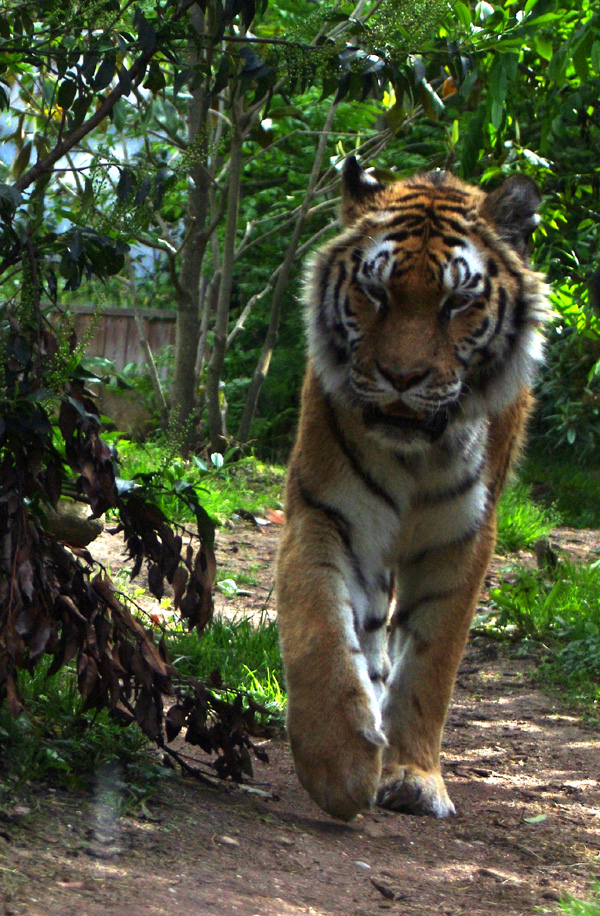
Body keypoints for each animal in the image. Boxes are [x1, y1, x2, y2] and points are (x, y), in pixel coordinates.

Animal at [276, 156, 548, 824]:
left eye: (458, 302)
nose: (402, 377)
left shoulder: (463, 538)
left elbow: (432, 663)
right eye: (375, 293)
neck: (418, 454)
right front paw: (341, 766)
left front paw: (413, 776)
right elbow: (319, 626)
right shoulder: (328, 510)